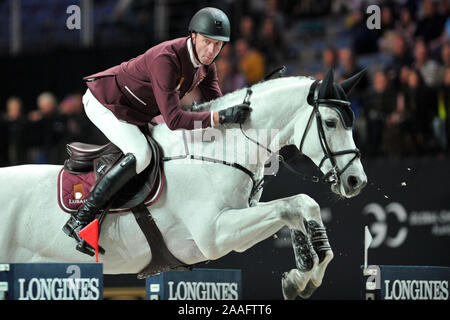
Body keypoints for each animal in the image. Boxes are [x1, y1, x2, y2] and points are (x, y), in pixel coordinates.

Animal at [0, 68, 366, 300]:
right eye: (330, 122)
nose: (356, 181)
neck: (218, 152)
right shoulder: (215, 235)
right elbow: (296, 204)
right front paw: (302, 274)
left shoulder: (238, 220)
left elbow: (300, 206)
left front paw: (303, 274)